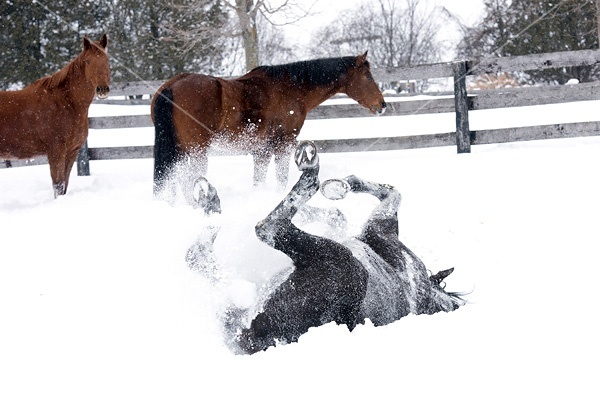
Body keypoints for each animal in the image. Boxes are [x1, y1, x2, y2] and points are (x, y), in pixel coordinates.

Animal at [0, 33, 110, 198]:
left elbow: (64, 185)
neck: (66, 102)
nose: (102, 89)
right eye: (87, 61)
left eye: (107, 60)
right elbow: (58, 185)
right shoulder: (56, 151)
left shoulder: (71, 152)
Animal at [151, 51, 384, 198]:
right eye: (368, 76)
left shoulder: (261, 151)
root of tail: (171, 87)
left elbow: (259, 180)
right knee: (187, 179)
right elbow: (281, 178)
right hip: (197, 151)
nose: (382, 105)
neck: (291, 88)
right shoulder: (284, 144)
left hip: (179, 151)